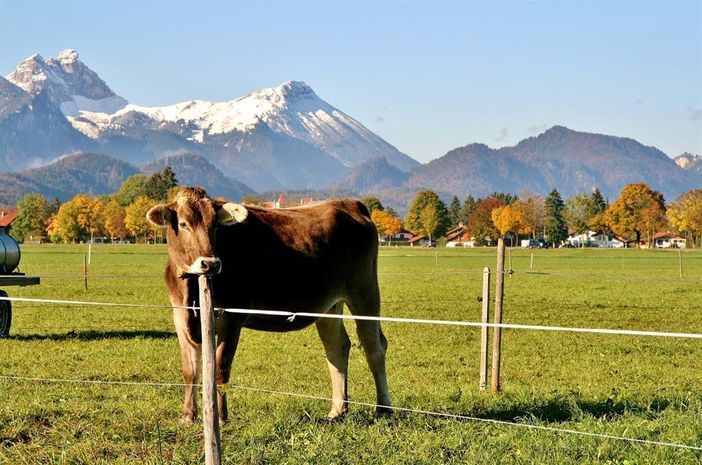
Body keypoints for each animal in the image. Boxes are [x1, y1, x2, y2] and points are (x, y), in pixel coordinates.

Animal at [146, 187, 394, 422]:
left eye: (215, 225)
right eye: (183, 224)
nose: (211, 263)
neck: (189, 291)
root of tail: (349, 204)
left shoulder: (232, 315)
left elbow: (220, 367)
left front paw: (221, 417)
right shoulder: (180, 316)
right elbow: (190, 370)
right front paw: (188, 416)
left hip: (365, 291)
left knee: (374, 346)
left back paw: (383, 409)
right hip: (329, 305)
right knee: (337, 348)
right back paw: (337, 410)